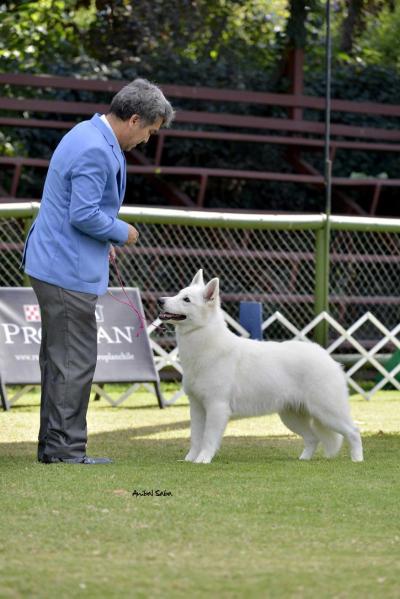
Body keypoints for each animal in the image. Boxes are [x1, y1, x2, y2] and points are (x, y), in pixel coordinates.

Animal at [158, 270, 364, 464]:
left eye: (186, 299)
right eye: (179, 293)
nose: (160, 300)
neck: (203, 345)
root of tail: (327, 357)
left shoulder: (217, 406)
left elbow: (208, 438)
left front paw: (203, 459)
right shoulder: (197, 407)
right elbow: (195, 438)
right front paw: (190, 459)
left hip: (327, 411)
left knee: (354, 431)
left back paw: (357, 459)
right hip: (292, 417)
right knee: (313, 438)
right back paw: (304, 459)